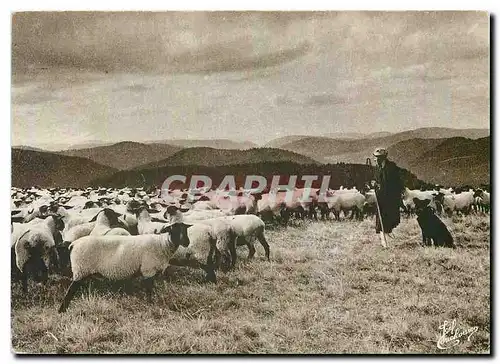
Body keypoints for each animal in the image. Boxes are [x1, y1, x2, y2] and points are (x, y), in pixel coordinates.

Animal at [57, 220, 191, 314]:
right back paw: (62, 311)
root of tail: (74, 244)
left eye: (185, 230)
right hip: (81, 269)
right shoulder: (148, 270)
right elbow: (149, 290)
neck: (162, 244)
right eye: (173, 230)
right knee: (70, 291)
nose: (187, 242)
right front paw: (150, 304)